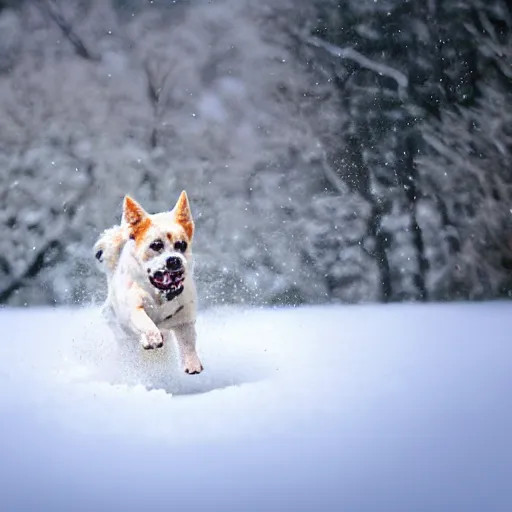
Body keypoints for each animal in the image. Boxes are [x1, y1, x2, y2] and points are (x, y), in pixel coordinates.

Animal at [93, 190, 203, 374]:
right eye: (156, 245)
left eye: (181, 245)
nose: (174, 260)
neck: (161, 294)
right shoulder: (134, 306)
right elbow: (144, 321)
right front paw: (152, 338)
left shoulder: (184, 318)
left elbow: (188, 341)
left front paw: (192, 363)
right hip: (121, 331)